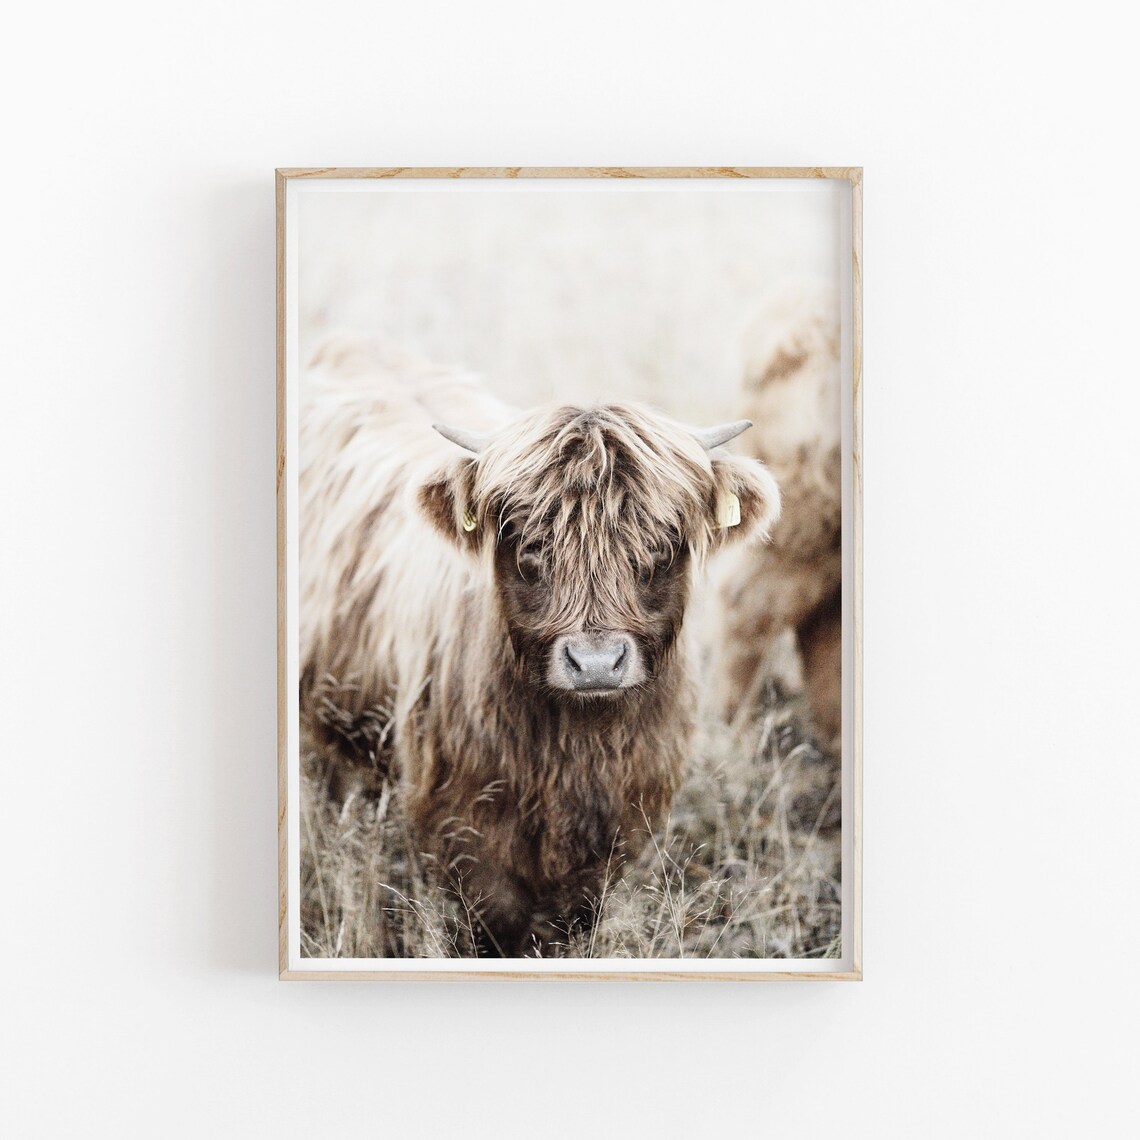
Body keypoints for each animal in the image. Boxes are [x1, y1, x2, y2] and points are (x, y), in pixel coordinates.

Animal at [299, 334, 780, 956]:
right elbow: (496, 921)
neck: (573, 745)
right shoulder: (462, 821)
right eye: (529, 544)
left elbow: (575, 918)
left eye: (660, 542)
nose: (596, 663)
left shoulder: (620, 822)